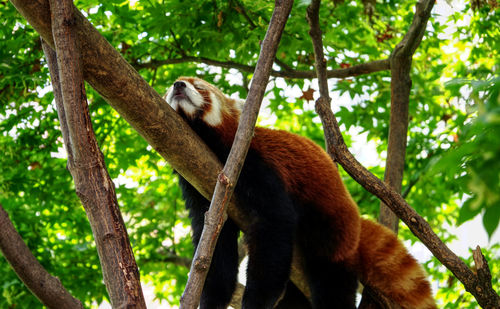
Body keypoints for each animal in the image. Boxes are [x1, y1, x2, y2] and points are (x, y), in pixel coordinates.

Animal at [166, 76, 436, 308]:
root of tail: (357, 225)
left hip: (332, 236)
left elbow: (276, 221)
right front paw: (211, 299)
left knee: (330, 283)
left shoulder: (252, 163)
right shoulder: (200, 184)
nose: (178, 85)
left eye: (199, 87)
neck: (209, 143)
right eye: (171, 88)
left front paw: (256, 301)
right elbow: (215, 245)